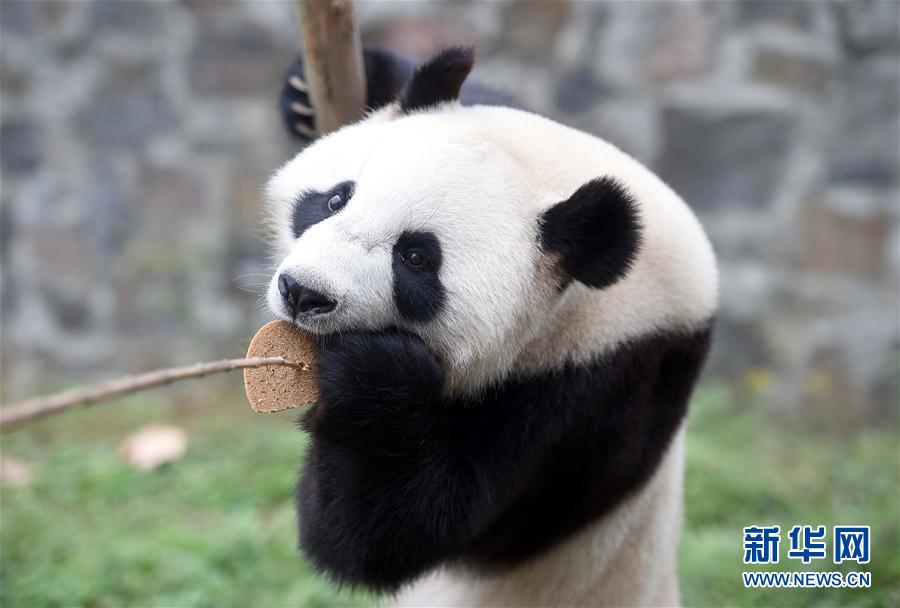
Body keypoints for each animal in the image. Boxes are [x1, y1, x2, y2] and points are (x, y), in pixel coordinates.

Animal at [266, 48, 716, 608]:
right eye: (335, 199)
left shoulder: (595, 392)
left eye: (416, 258)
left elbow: (385, 534)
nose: (303, 292)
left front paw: (370, 378)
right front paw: (312, 92)